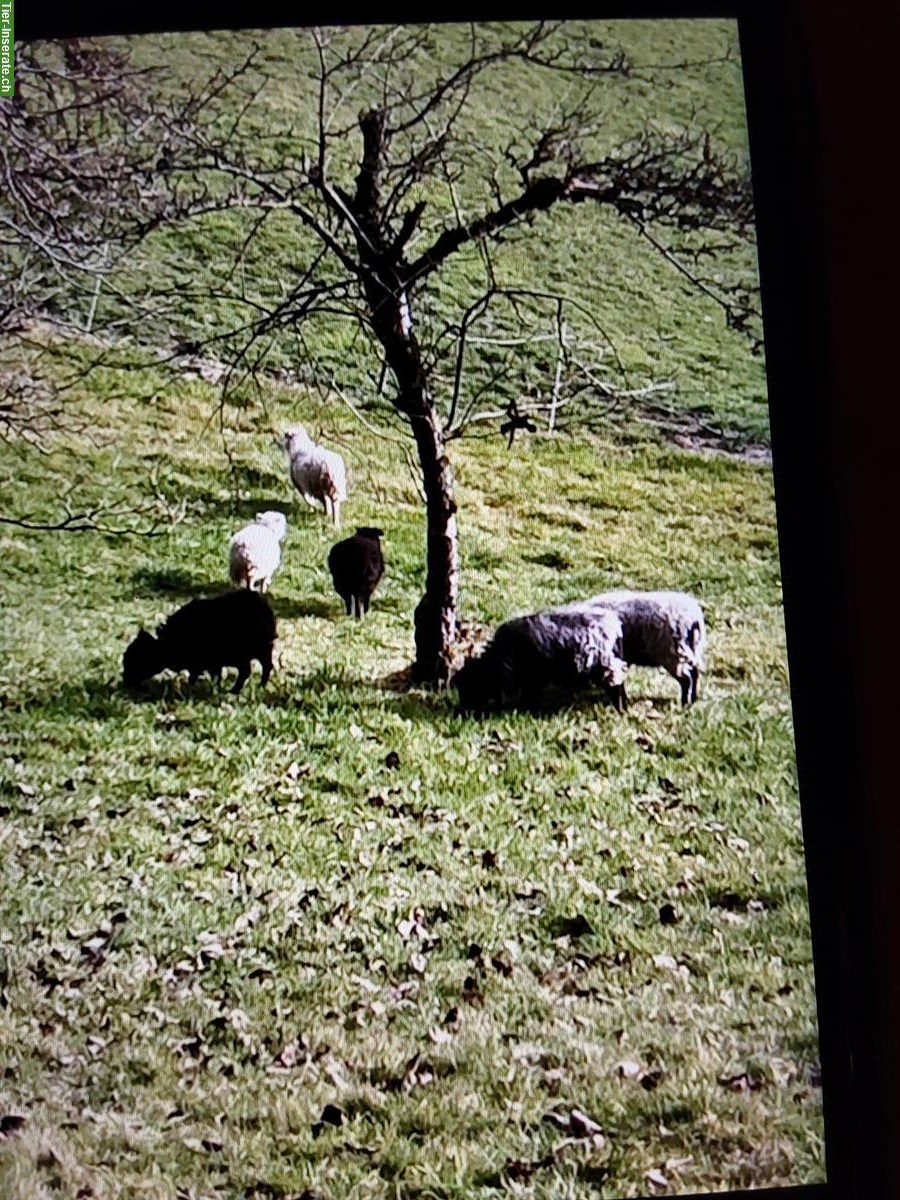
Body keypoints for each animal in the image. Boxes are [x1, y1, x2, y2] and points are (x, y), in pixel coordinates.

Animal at [123, 588, 277, 696]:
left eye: (136, 661)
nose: (125, 682)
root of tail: (265, 607)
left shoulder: (207, 662)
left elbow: (203, 677)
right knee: (261, 667)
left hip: (252, 651)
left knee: (254, 669)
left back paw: (240, 690)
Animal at [451, 604, 628, 715]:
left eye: (472, 685)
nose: (463, 711)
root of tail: (612, 625)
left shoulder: (532, 678)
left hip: (605, 666)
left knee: (616, 685)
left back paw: (620, 707)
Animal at [566, 592, 710, 710]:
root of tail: (693, 618)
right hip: (690, 650)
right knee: (695, 673)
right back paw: (693, 700)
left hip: (671, 654)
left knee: (686, 680)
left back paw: (684, 704)